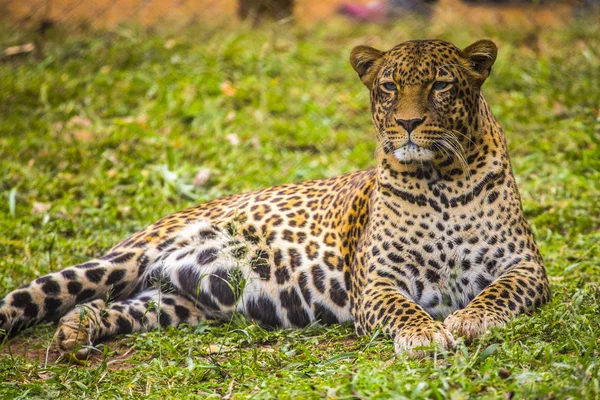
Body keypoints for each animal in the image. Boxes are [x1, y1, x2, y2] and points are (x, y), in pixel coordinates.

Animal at [0, 39, 552, 360]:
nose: (409, 123)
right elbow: (403, 308)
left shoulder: (525, 267)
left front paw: (468, 319)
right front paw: (424, 335)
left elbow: (497, 294)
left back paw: (78, 329)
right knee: (40, 294)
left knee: (121, 306)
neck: (440, 179)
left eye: (440, 86)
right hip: (120, 261)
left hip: (179, 301)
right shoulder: (378, 281)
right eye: (389, 87)